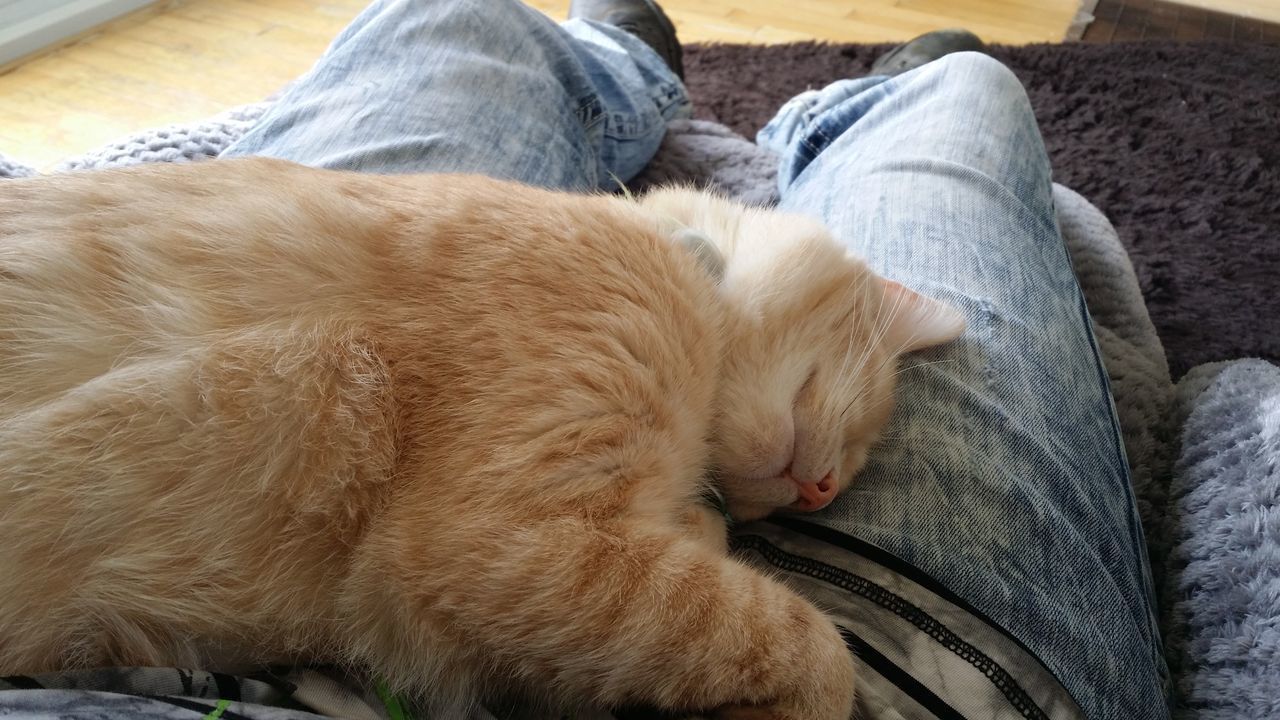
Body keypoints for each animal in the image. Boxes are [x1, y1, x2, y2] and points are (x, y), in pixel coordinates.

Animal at [0, 158, 962, 717]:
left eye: (853, 468)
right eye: (864, 426)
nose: (824, 490)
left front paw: (704, 521)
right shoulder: (492, 541)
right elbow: (806, 641)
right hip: (326, 374)